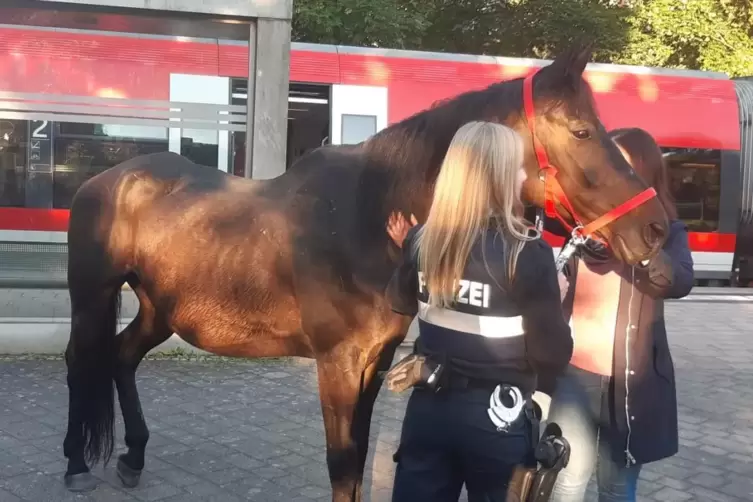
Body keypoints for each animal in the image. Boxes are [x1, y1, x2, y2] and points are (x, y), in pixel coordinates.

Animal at [61, 44, 668, 502]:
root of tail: (107, 179)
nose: (656, 229)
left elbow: (358, 455)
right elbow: (343, 461)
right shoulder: (337, 364)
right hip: (91, 296)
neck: (369, 215)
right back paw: (74, 463)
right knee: (80, 361)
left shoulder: (374, 362)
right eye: (582, 131)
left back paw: (133, 456)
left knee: (122, 357)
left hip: (159, 308)